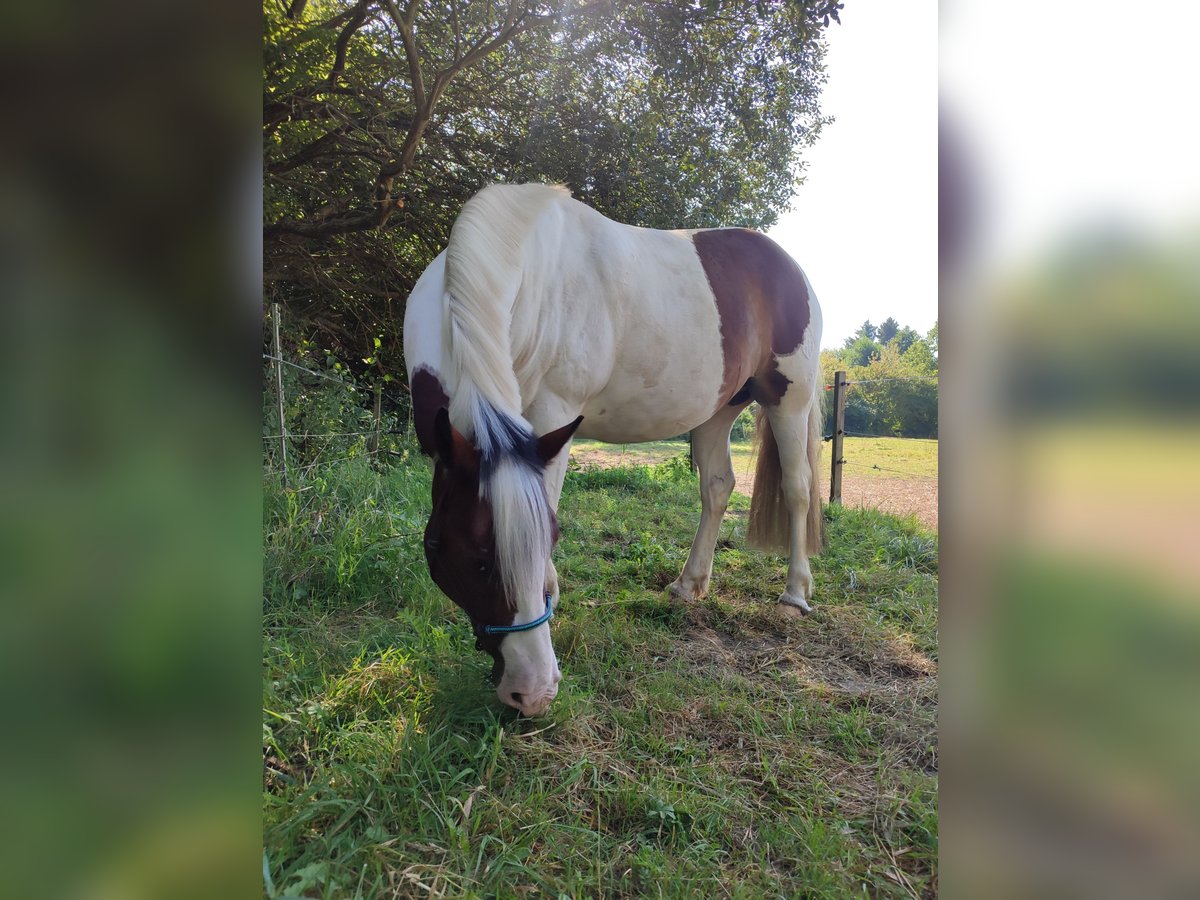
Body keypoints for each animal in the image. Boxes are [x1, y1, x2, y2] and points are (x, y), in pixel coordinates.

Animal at [403, 184, 825, 720]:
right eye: (478, 559)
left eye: (550, 542)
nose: (533, 691)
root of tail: (791, 267)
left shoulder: (553, 414)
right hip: (718, 410)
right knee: (717, 487)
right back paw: (689, 584)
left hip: (790, 400)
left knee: (797, 489)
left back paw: (794, 594)